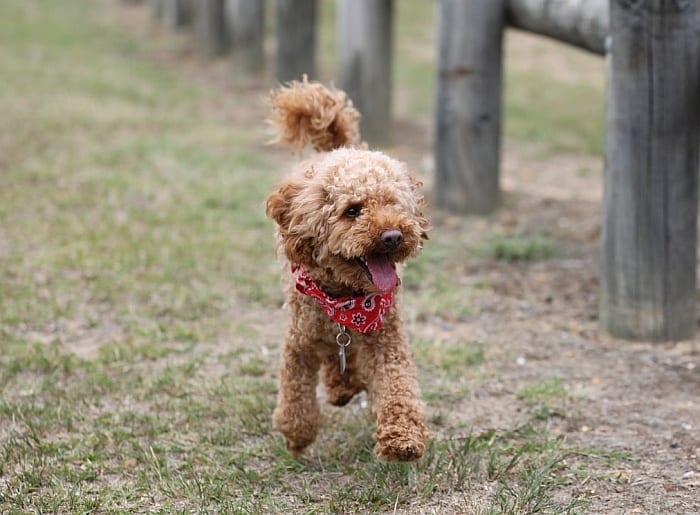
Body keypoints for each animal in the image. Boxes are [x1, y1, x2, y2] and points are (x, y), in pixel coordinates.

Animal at [266, 77, 430, 464]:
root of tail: (335, 151)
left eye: (394, 204)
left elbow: (398, 385)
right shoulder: (299, 341)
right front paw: (297, 437)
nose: (393, 236)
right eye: (352, 210)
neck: (346, 298)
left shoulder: (386, 337)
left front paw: (402, 439)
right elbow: (295, 397)